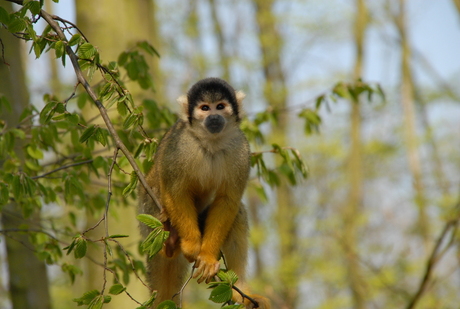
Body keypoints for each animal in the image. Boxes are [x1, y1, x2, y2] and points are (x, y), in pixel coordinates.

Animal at [138, 77, 272, 308]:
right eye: (204, 108)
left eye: (220, 106)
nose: (214, 117)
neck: (211, 142)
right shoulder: (180, 145)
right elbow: (176, 190)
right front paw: (192, 246)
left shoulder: (240, 149)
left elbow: (228, 200)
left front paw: (208, 258)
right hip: (148, 216)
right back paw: (171, 240)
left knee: (237, 213)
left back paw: (239, 292)